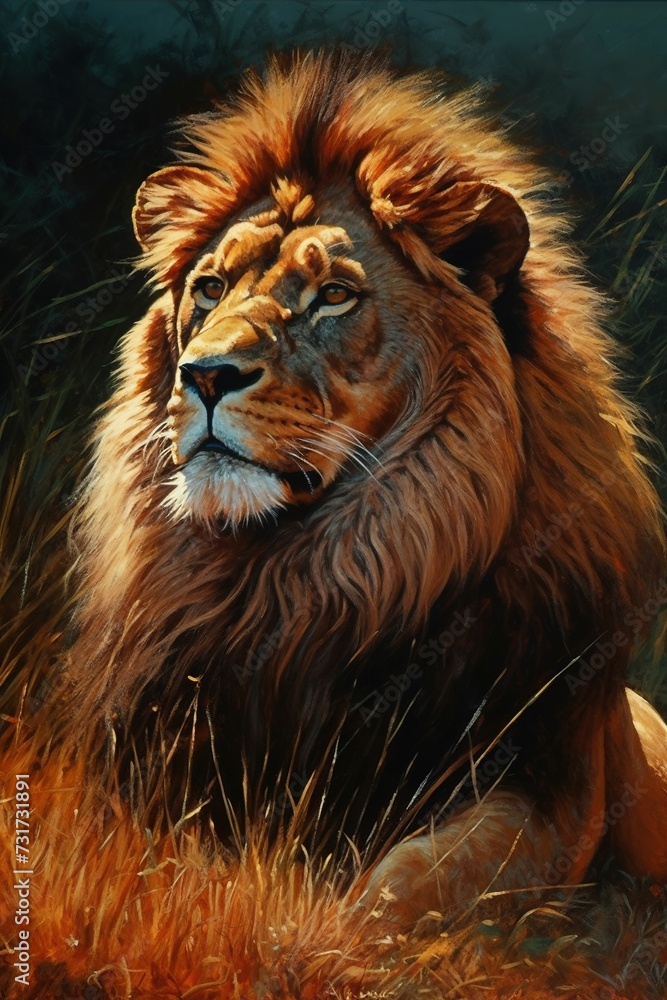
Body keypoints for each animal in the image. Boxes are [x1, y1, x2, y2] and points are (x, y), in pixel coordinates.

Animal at [42, 48, 667, 927]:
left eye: (334, 295)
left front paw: (318, 927)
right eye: (209, 287)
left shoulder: (554, 793)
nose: (205, 374)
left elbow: (414, 885)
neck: (294, 583)